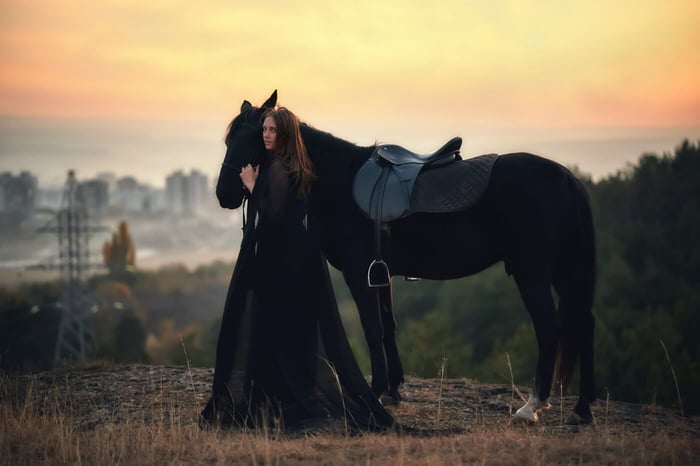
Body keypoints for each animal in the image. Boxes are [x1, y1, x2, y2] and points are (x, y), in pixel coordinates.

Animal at [216, 91, 597, 424]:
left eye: (255, 136)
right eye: (230, 138)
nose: (224, 194)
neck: (339, 181)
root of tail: (568, 179)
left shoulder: (358, 272)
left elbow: (372, 329)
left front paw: (374, 391)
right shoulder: (380, 273)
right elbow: (388, 327)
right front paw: (393, 390)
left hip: (532, 272)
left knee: (549, 327)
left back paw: (532, 407)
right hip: (564, 271)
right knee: (583, 323)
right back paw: (582, 410)